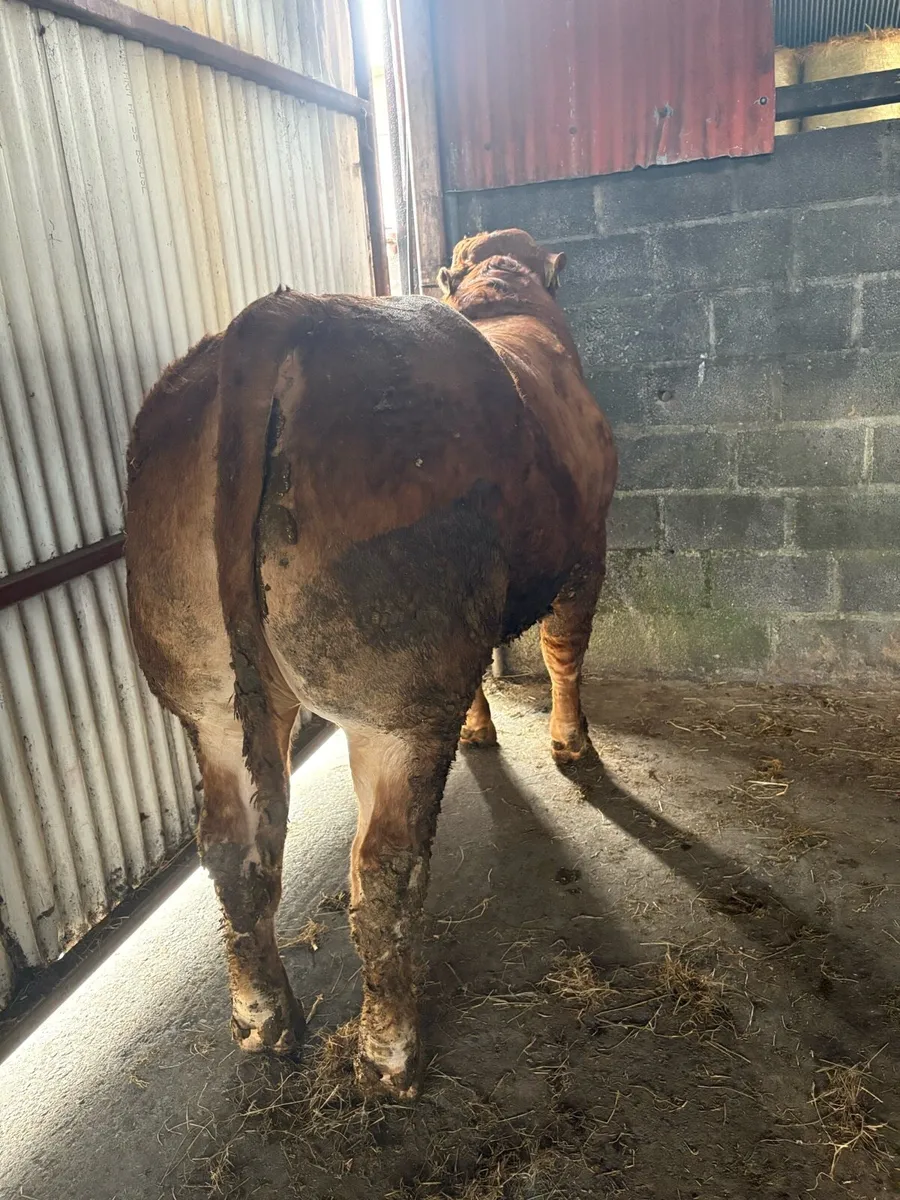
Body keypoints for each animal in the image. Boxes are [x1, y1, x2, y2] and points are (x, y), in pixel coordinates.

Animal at [125, 228, 616, 1101]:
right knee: (381, 871)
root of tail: (277, 317)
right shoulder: (588, 548)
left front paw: (485, 730)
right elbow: (566, 655)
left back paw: (263, 1020)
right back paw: (391, 1052)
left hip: (208, 699)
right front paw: (573, 745)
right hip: (396, 703)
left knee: (230, 849)